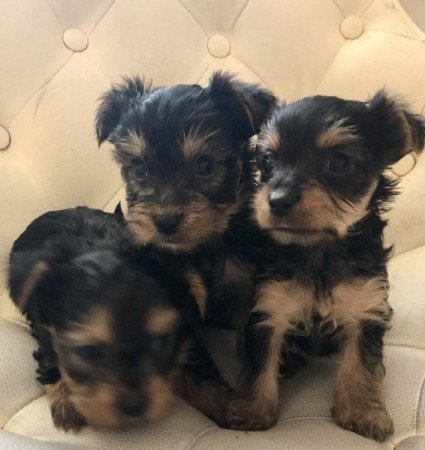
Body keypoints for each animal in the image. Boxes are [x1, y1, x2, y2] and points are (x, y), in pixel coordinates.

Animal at [8, 207, 232, 431]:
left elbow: (201, 374)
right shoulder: (46, 328)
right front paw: (67, 401)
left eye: (162, 342)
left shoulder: (184, 335)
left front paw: (229, 408)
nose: (134, 407)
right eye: (89, 352)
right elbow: (52, 358)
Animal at [224, 91, 425, 441]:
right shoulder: (269, 307)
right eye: (267, 162)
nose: (277, 200)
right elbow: (260, 361)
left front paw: (363, 412)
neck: (318, 249)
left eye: (339, 163)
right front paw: (251, 410)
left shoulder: (367, 309)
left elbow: (362, 362)